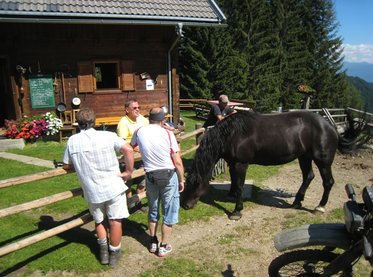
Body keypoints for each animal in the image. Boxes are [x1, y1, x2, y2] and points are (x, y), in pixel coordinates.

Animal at [180, 109, 364, 219]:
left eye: (196, 184)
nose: (185, 205)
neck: (232, 134)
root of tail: (331, 126)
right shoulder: (233, 163)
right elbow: (233, 182)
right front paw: (231, 196)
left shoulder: (241, 164)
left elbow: (239, 185)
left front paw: (237, 211)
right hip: (304, 157)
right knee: (308, 176)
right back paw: (297, 202)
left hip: (323, 161)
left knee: (327, 182)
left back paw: (319, 207)